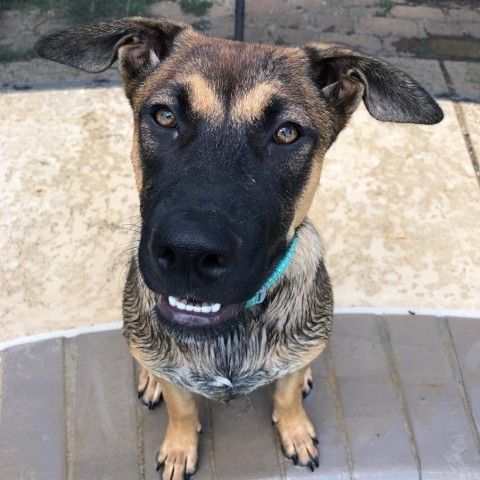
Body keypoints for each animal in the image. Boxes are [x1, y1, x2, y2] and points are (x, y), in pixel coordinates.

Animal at [35, 16, 444, 478]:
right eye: (164, 116)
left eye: (287, 133)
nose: (189, 254)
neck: (230, 333)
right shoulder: (172, 371)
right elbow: (182, 407)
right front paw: (179, 447)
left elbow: (285, 395)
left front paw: (295, 429)